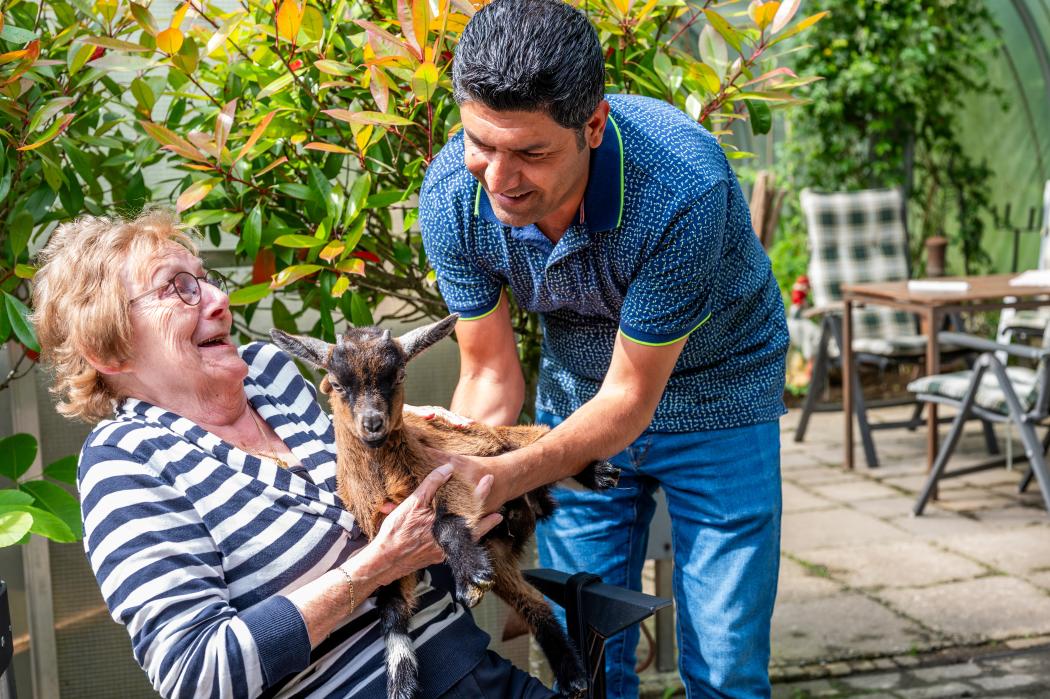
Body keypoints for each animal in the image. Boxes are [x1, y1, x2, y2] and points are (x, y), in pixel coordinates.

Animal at [271, 315, 619, 699]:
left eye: (399, 375)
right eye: (335, 384)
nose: (373, 423)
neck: (383, 478)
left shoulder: (451, 478)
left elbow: (446, 522)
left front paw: (472, 575)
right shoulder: (385, 544)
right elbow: (391, 609)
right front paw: (401, 682)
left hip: (500, 442)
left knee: (541, 440)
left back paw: (599, 474)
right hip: (499, 552)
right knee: (534, 601)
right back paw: (572, 675)